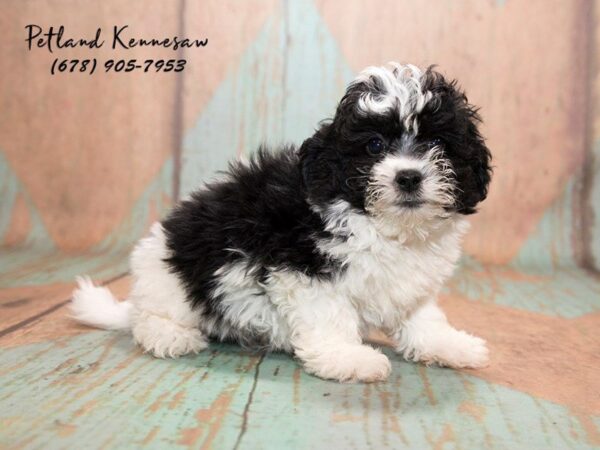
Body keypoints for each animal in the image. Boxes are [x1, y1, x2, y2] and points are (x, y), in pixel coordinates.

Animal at [71, 61, 492, 382]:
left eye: (438, 144)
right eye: (374, 145)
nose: (408, 177)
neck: (384, 227)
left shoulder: (409, 283)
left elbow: (421, 315)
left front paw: (447, 343)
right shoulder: (303, 269)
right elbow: (330, 316)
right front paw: (347, 357)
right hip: (171, 278)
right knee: (150, 316)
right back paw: (170, 335)